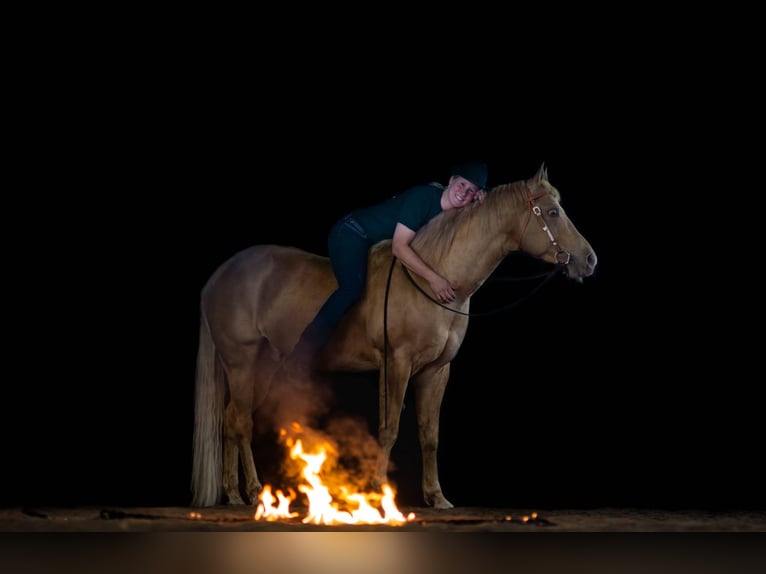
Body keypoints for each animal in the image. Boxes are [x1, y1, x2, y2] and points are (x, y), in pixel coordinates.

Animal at [191, 163, 597, 509]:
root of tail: (218, 277)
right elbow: (389, 429)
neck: (432, 277)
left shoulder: (436, 371)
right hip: (241, 363)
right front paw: (376, 491)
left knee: (233, 419)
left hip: (262, 367)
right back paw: (254, 490)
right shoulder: (397, 363)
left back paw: (236, 494)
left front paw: (437, 497)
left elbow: (429, 434)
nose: (590, 260)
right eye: (552, 212)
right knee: (241, 422)